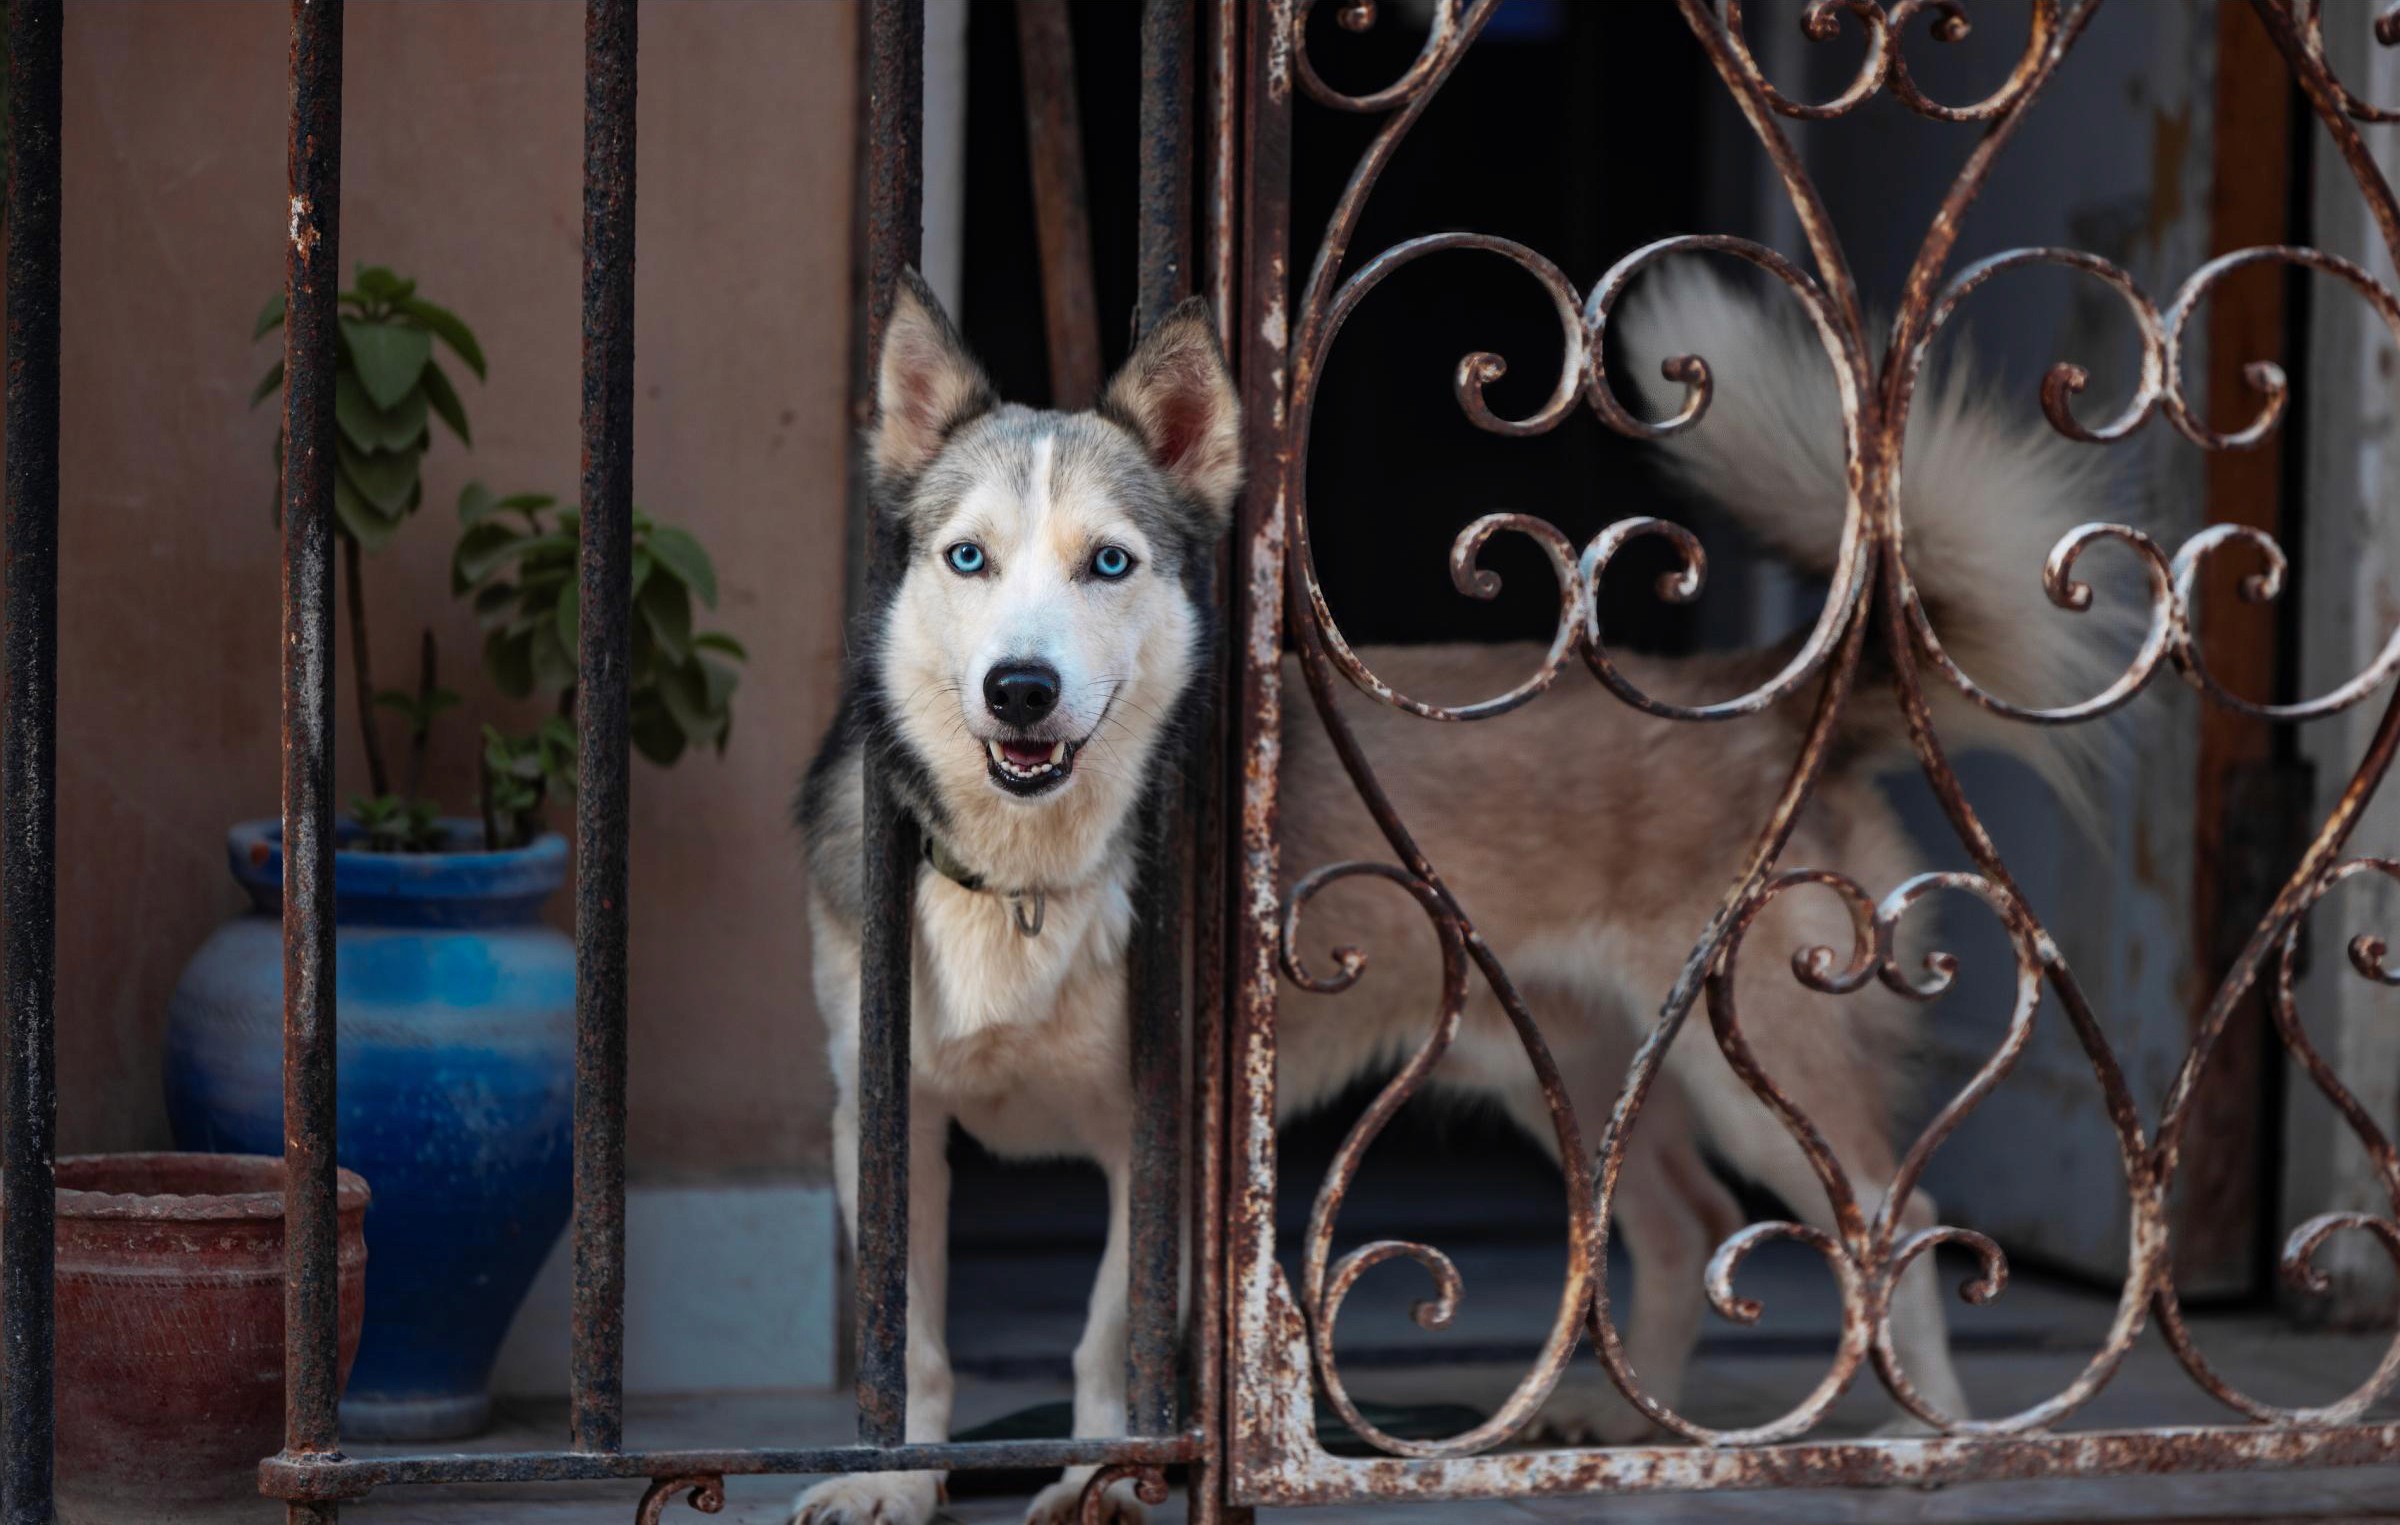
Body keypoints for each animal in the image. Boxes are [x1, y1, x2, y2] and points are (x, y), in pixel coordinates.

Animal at [792, 265, 2121, 1525]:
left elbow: (1105, 1336)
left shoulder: (1160, 1146)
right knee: (1686, 1221)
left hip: (1760, 1075)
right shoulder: (885, 1120)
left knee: (1898, 1217)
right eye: (967, 557)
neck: (1028, 872)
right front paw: (896, 1484)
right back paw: (1636, 1424)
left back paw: (1930, 1442)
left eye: (1108, 562)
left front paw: (1092, 1480)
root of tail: (1769, 705)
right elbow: (911, 1346)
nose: (1020, 688)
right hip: (1565, 1070)